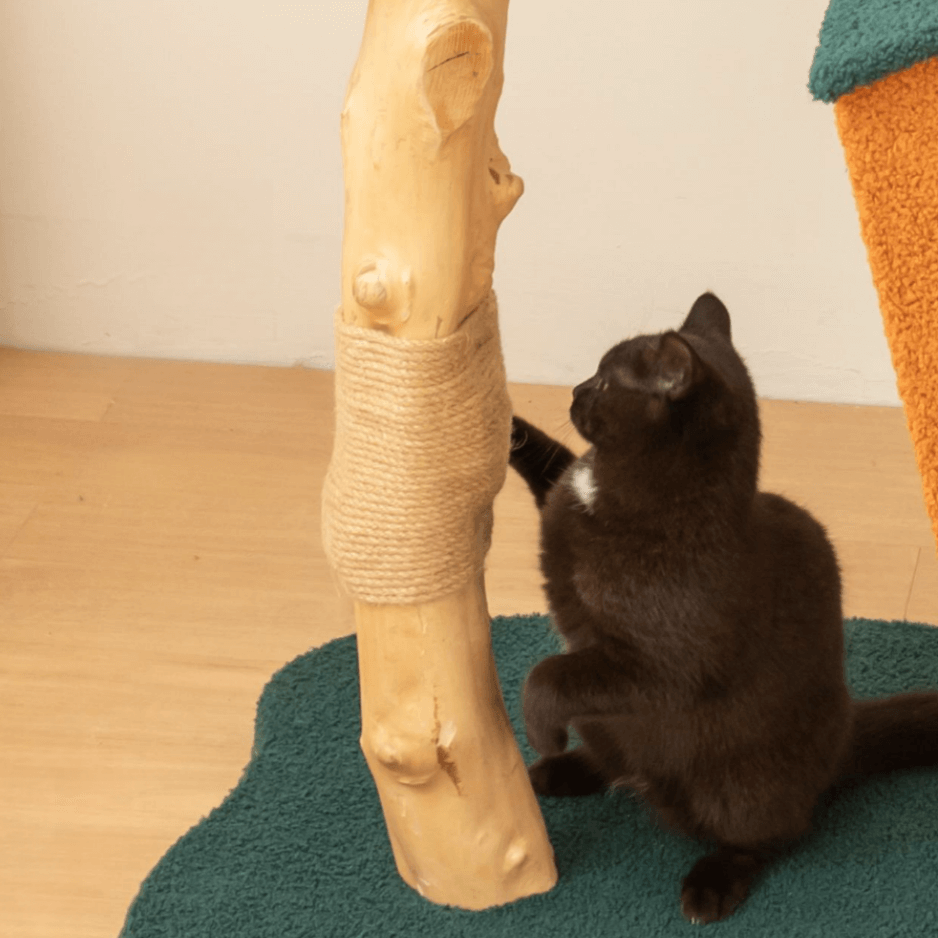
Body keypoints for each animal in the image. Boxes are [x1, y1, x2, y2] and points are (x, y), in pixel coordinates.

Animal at [508, 292, 936, 920]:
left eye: (607, 382)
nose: (574, 390)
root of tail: (842, 740)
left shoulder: (662, 668)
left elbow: (551, 673)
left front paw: (540, 726)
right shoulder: (560, 500)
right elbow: (548, 460)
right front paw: (496, 421)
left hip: (739, 783)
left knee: (771, 834)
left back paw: (711, 884)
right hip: (611, 728)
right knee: (619, 766)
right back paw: (564, 771)